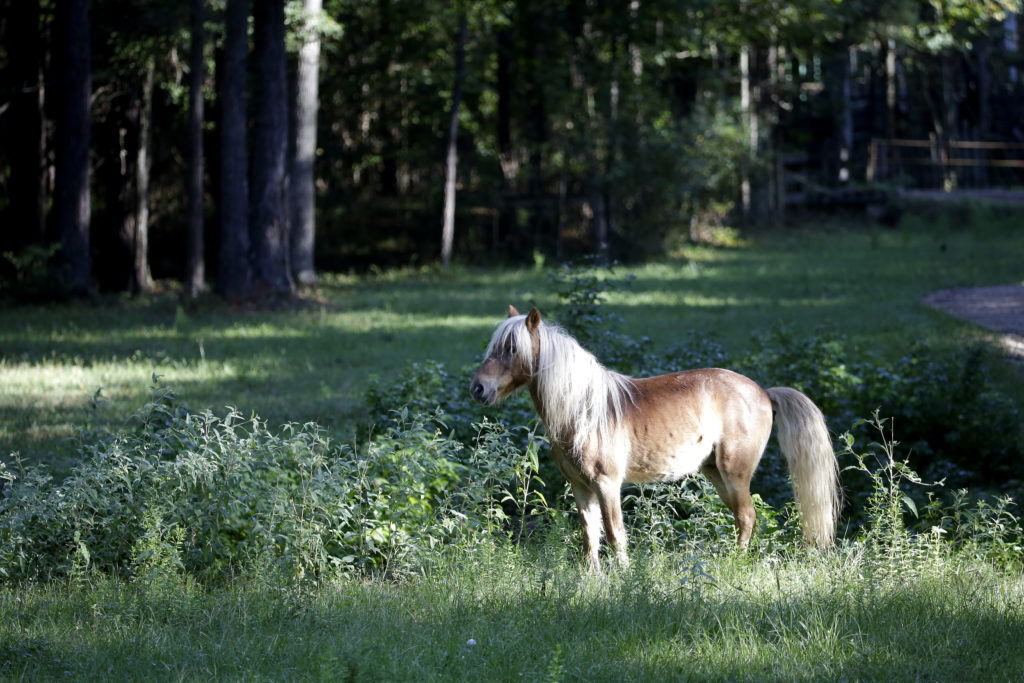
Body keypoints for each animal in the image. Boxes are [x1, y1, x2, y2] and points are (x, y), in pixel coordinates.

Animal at [471, 307, 839, 569]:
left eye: (511, 348)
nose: (478, 389)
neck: (584, 410)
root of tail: (764, 391)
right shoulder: (580, 486)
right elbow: (590, 535)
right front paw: (592, 579)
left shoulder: (607, 484)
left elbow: (615, 534)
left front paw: (624, 576)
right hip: (715, 473)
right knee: (741, 517)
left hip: (735, 473)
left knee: (747, 516)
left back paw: (737, 563)